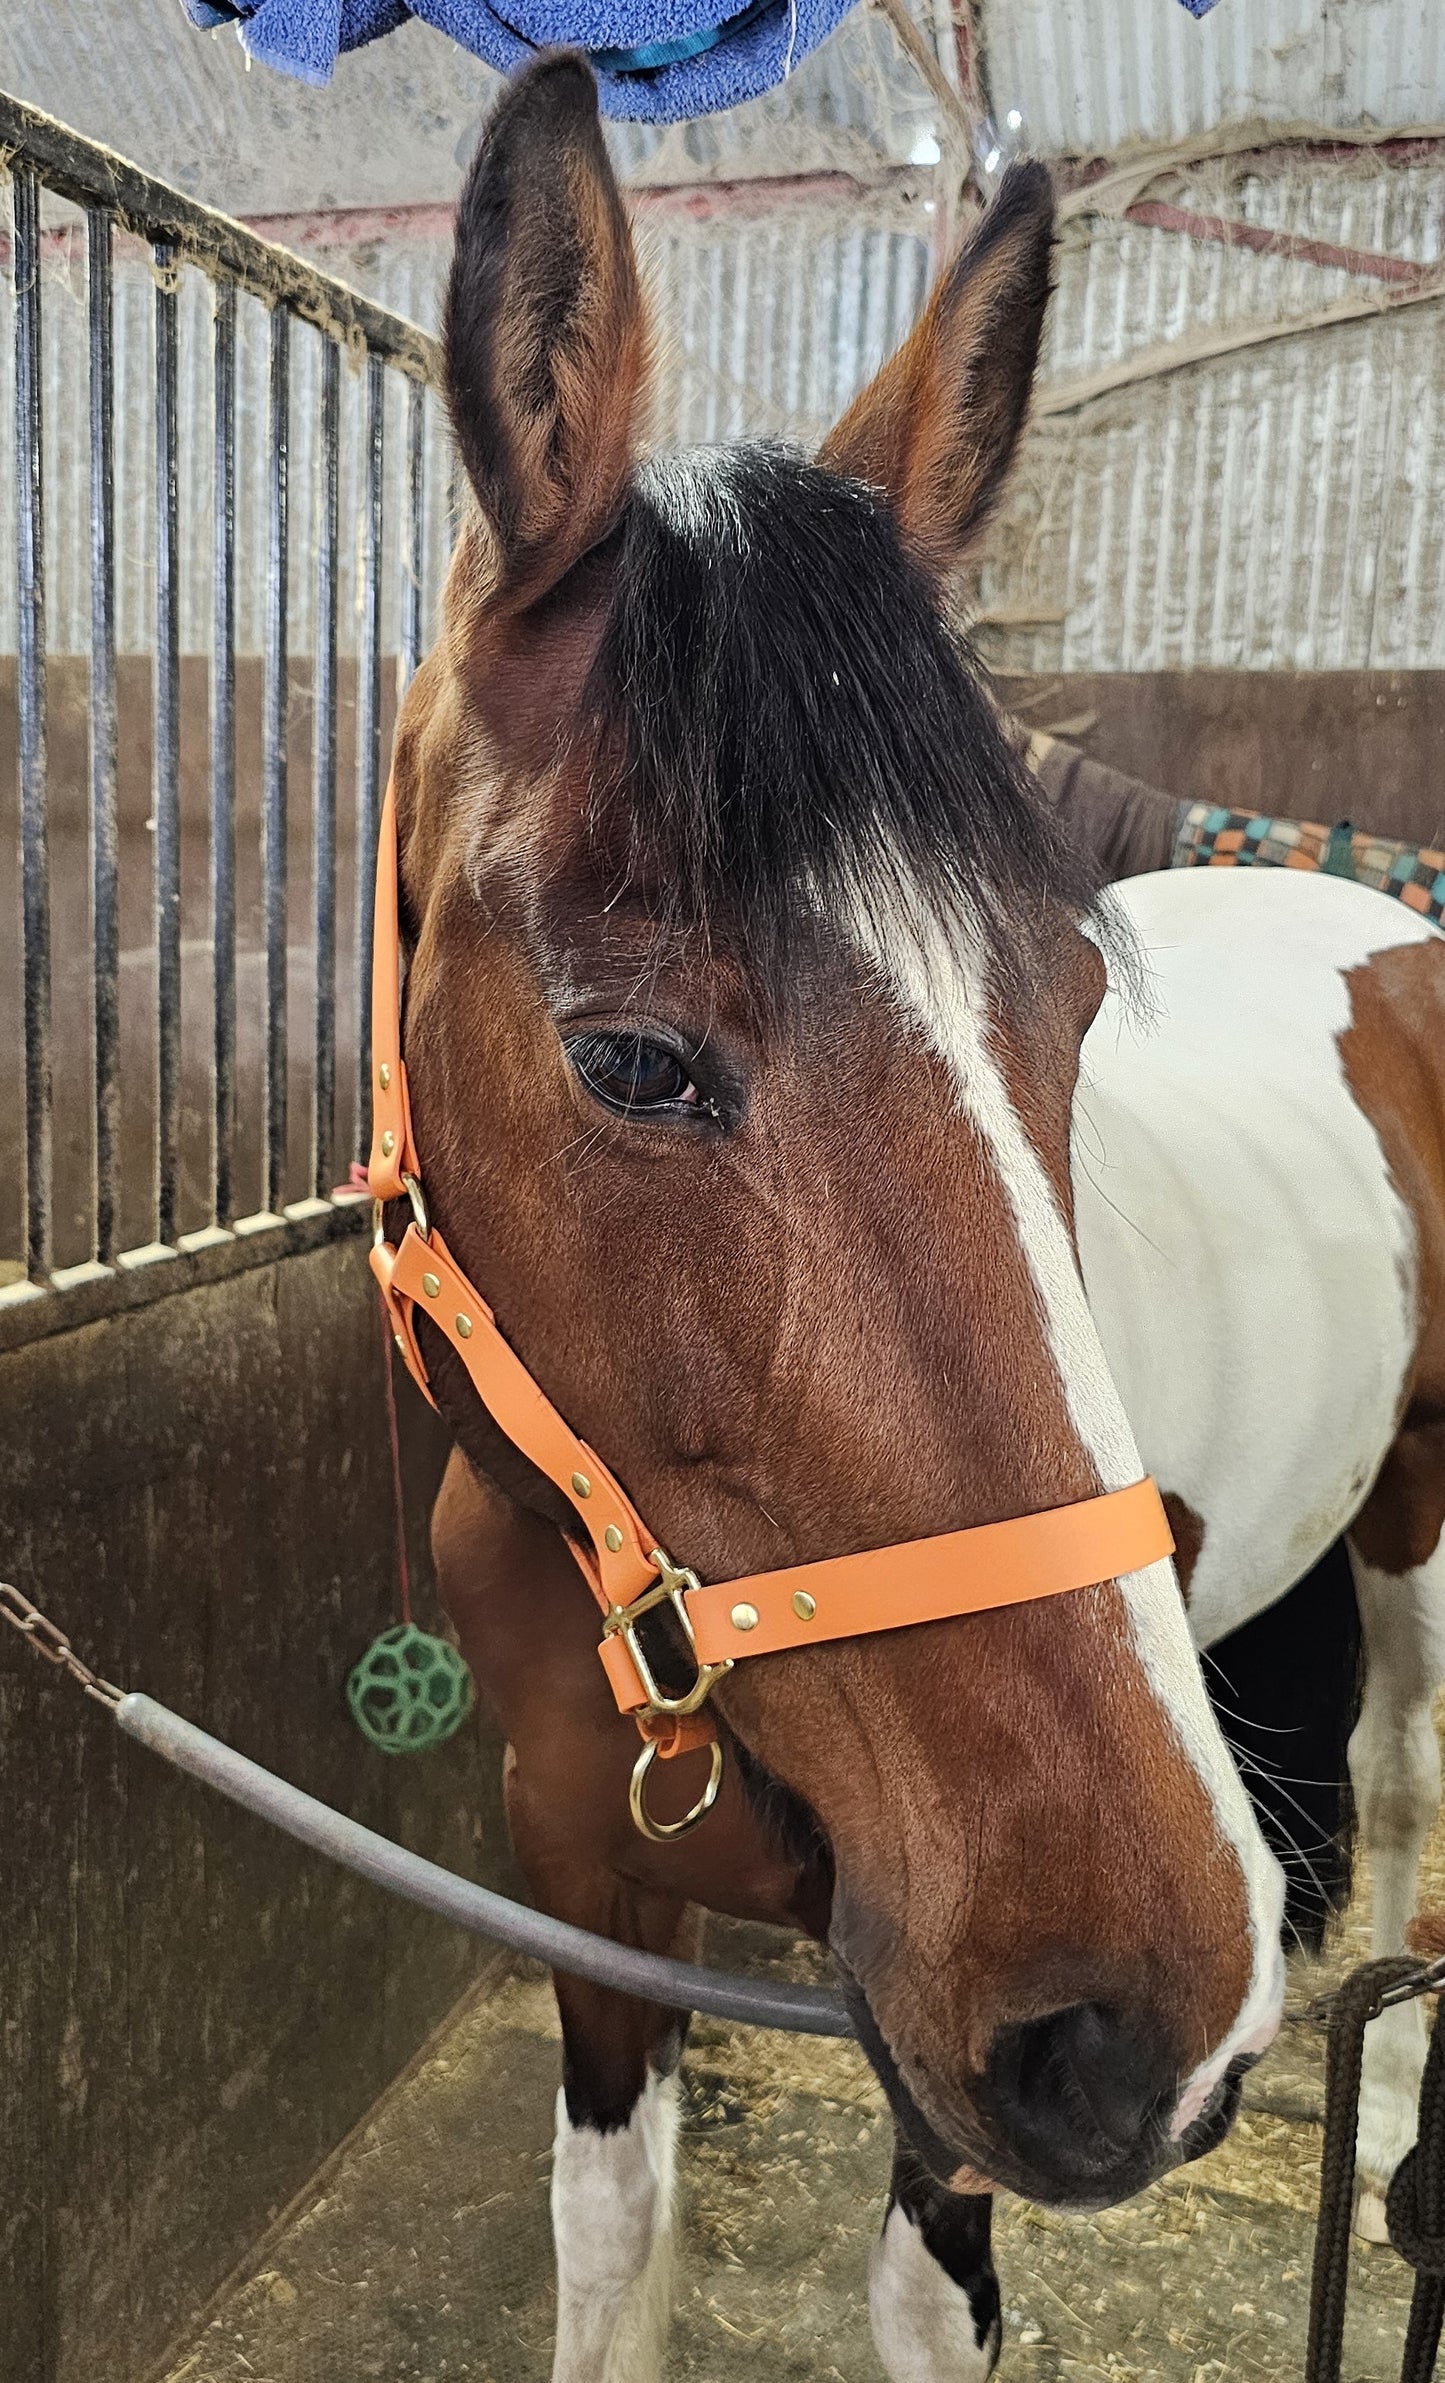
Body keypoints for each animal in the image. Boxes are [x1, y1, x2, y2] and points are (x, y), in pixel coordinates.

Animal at [377, 54, 1445, 2380]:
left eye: (1070, 1019)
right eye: (628, 1062)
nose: (1137, 2020)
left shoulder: (931, 2038)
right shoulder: (582, 1888)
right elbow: (607, 2243)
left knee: (1413, 1774)